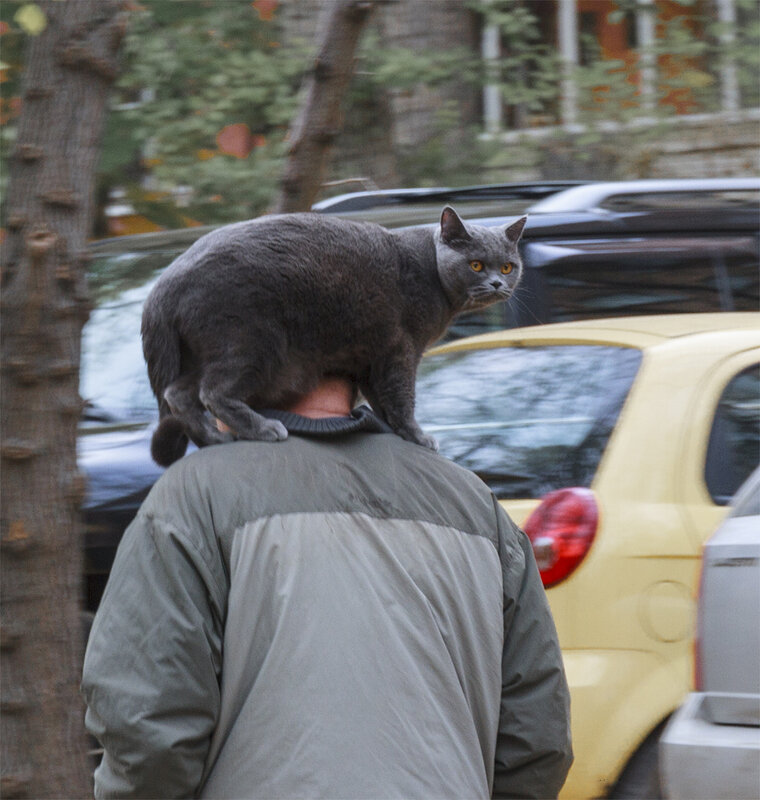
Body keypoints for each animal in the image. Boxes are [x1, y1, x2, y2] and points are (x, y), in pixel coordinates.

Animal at [141, 206, 524, 466]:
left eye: (508, 266)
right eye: (476, 265)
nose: (497, 283)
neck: (433, 274)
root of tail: (162, 286)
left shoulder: (369, 357)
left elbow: (382, 400)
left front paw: (391, 430)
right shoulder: (400, 348)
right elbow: (403, 398)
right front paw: (418, 436)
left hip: (202, 352)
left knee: (177, 394)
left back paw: (214, 440)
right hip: (252, 342)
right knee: (213, 392)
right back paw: (263, 429)